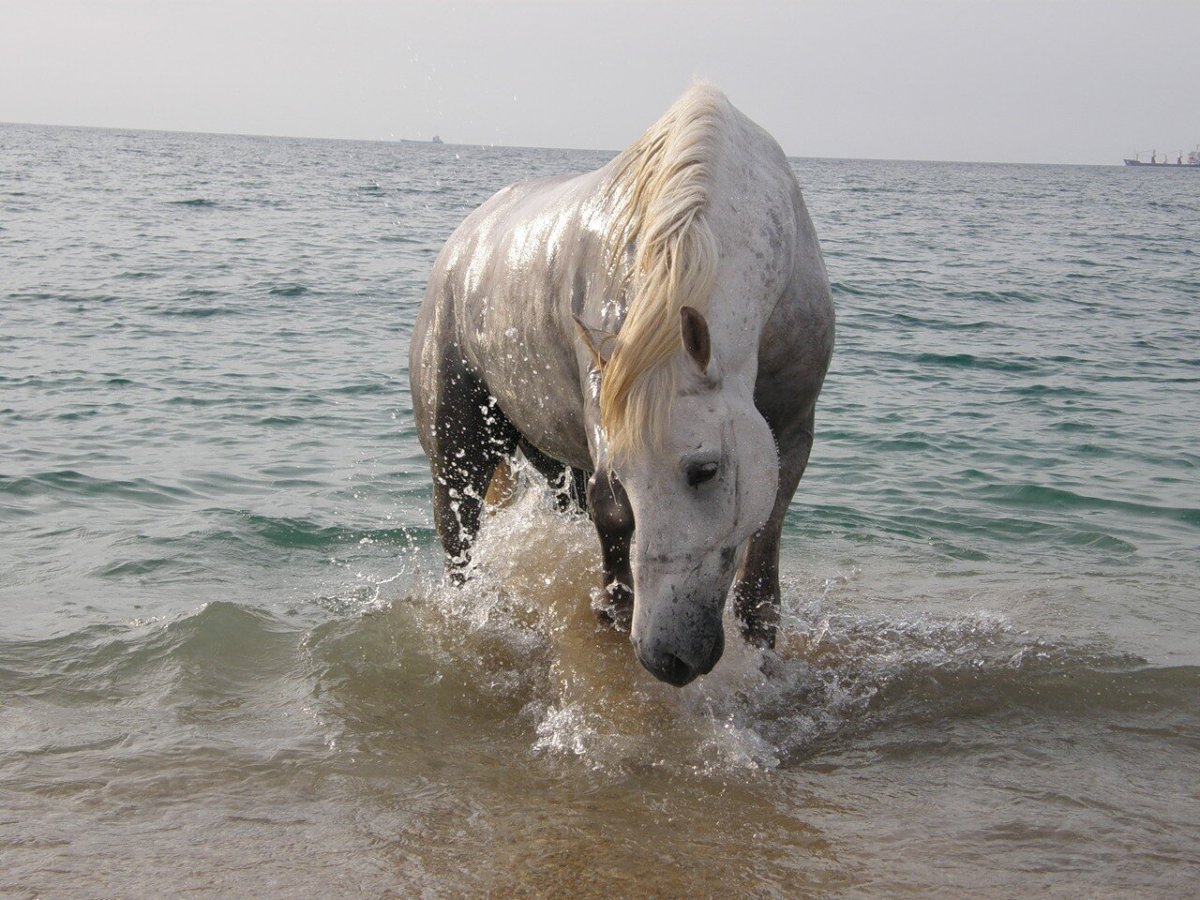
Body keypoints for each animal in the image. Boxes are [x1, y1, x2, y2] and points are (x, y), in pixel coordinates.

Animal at [409, 84, 834, 686]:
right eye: (627, 475)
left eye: (704, 470)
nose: (667, 657)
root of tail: (463, 241)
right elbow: (613, 517)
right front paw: (614, 610)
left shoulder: (792, 431)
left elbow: (762, 559)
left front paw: (762, 647)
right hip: (458, 446)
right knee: (458, 540)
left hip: (546, 453)